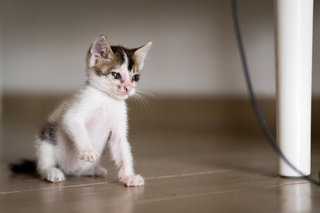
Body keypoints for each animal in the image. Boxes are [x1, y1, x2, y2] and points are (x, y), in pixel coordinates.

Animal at [34, 34, 152, 186]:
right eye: (116, 75)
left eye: (135, 77)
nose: (128, 88)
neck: (107, 99)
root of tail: (69, 170)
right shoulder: (73, 113)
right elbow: (76, 126)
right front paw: (88, 151)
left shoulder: (118, 129)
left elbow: (122, 150)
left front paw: (129, 176)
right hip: (45, 143)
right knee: (43, 165)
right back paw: (52, 172)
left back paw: (94, 170)